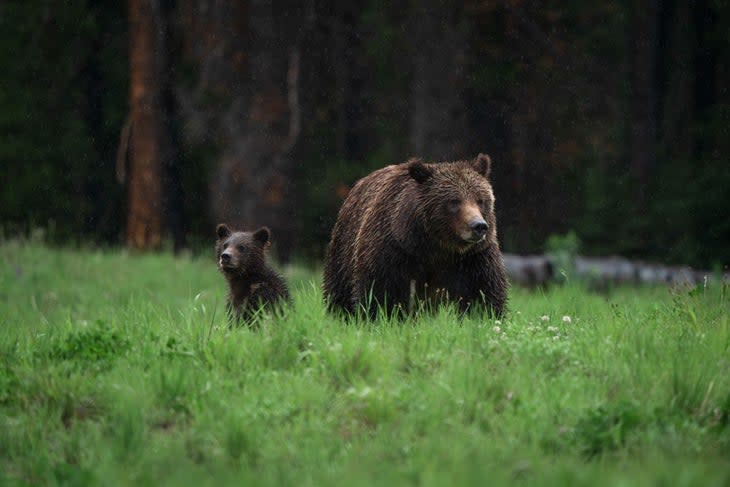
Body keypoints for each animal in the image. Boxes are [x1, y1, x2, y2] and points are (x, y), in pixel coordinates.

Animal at [322, 154, 506, 318]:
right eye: (454, 202)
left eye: (480, 200)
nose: (478, 226)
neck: (438, 247)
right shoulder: (394, 251)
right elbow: (378, 292)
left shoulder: (474, 259)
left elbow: (485, 295)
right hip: (344, 248)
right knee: (339, 291)